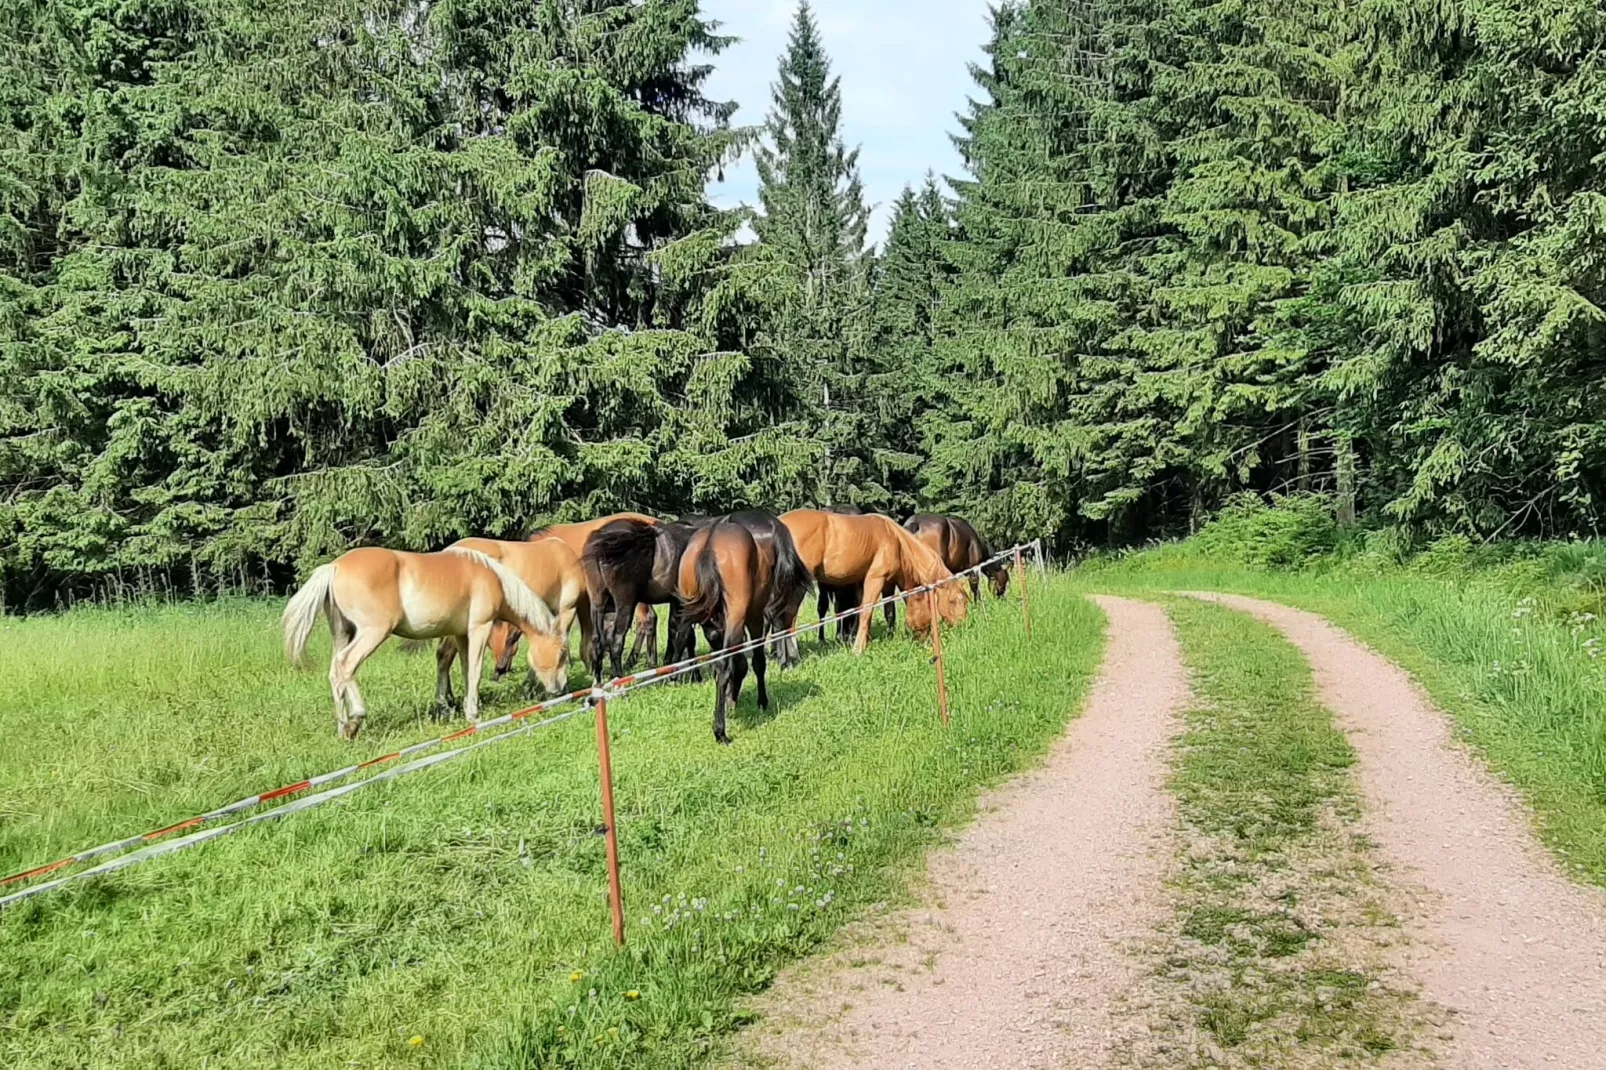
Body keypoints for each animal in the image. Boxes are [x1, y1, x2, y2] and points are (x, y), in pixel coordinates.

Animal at [285, 546, 562, 739]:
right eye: (562, 654)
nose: (559, 689)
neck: (492, 579)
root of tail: (333, 567)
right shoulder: (479, 629)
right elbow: (475, 672)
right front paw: (473, 716)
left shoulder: (461, 635)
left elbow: (465, 670)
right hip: (372, 633)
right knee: (345, 666)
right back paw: (355, 720)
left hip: (344, 633)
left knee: (337, 671)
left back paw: (344, 727)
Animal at [777, 507, 963, 655]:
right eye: (953, 601)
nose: (960, 625)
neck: (895, 539)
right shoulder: (876, 578)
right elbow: (867, 611)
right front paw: (858, 649)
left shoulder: (861, 583)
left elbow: (861, 612)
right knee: (789, 618)